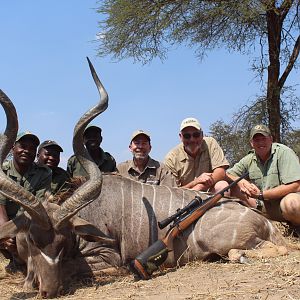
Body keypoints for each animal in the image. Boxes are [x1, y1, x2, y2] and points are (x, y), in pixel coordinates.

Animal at [0, 61, 286, 298]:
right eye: (33, 242)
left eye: (61, 244)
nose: (48, 290)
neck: (88, 215)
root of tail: (262, 221)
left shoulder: (107, 256)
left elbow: (81, 268)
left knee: (271, 250)